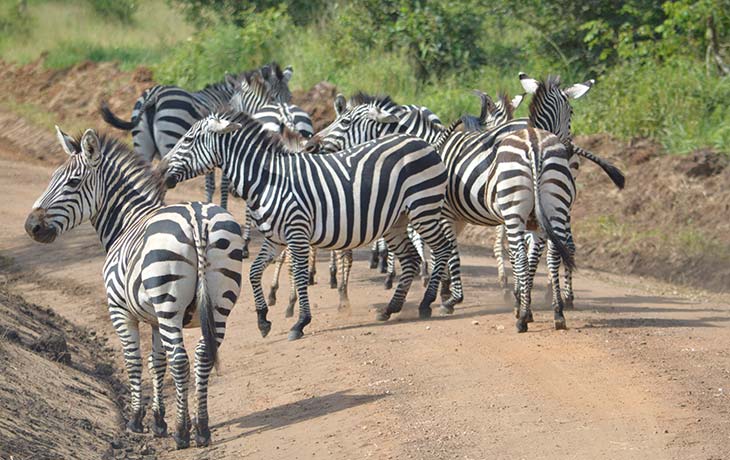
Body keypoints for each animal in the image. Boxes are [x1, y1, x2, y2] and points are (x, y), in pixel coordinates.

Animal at [25, 127, 243, 448]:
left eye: (73, 182)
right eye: (52, 177)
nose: (31, 227)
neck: (128, 221)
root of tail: (196, 216)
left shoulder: (120, 310)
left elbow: (134, 360)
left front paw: (138, 420)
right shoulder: (154, 319)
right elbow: (157, 362)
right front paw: (159, 421)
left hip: (169, 304)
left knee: (181, 360)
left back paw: (182, 433)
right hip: (218, 304)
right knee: (203, 354)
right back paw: (202, 429)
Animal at [161, 111, 458, 342]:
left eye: (188, 140)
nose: (161, 172)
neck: (268, 180)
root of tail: (422, 142)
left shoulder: (297, 233)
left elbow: (300, 275)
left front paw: (300, 322)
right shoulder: (275, 238)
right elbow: (254, 272)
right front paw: (263, 320)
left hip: (423, 208)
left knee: (442, 249)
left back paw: (427, 303)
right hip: (397, 221)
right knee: (411, 259)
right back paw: (390, 308)